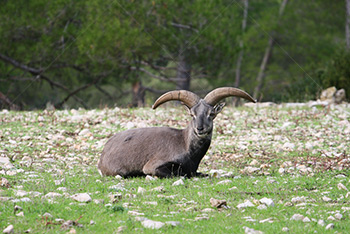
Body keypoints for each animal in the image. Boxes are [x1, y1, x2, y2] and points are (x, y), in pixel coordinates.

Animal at [97, 87, 256, 177]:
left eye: (211, 113)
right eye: (192, 114)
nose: (200, 128)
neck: (184, 145)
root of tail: (104, 152)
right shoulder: (152, 165)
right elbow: (178, 174)